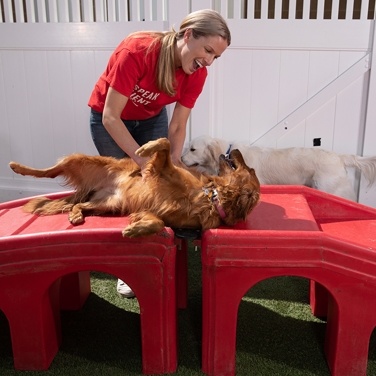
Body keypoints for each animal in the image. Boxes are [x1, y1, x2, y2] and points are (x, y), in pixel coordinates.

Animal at [9, 138, 262, 238]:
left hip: (108, 204)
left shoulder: (153, 211)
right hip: (79, 161)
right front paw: (146, 147)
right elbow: (165, 143)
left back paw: (76, 214)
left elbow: (157, 222)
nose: (235, 149)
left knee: (80, 203)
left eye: (251, 170)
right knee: (48, 171)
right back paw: (17, 166)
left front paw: (135, 229)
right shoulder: (161, 169)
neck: (210, 198)